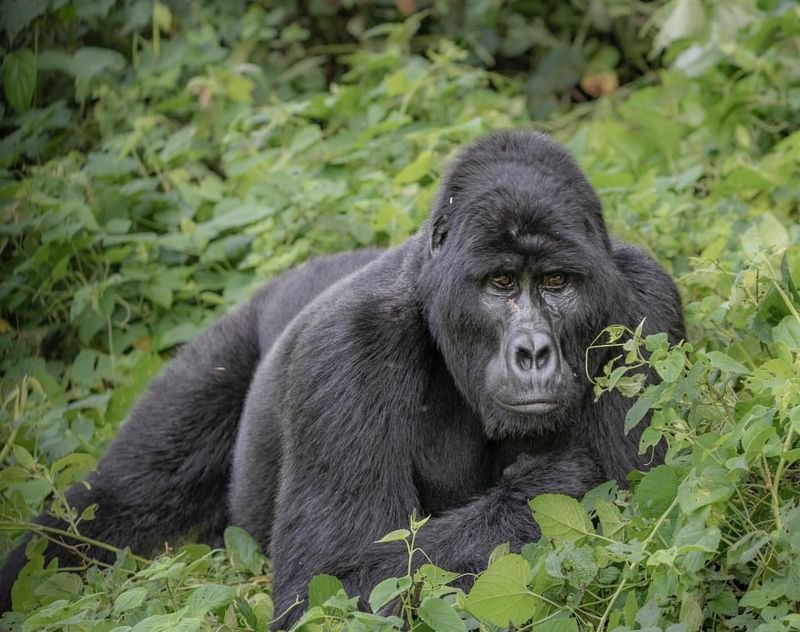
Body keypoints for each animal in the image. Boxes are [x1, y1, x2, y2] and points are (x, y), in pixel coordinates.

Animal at [1, 131, 688, 624]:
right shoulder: (348, 347)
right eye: (500, 284)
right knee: (109, 509)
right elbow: (331, 587)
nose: (534, 352)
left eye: (555, 282)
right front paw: (550, 483)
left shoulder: (643, 304)